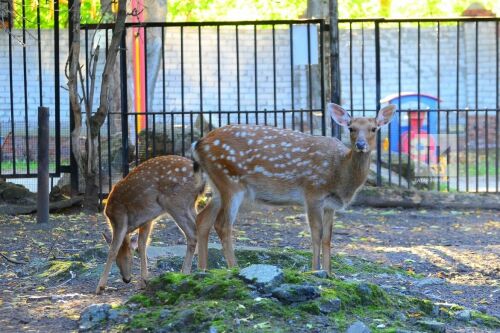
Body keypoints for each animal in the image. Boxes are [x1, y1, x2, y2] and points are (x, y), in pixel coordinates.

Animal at [95, 155, 205, 294]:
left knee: (192, 234)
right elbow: (142, 245)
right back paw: (202, 270)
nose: (126, 279)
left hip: (175, 202)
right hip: (190, 204)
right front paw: (143, 282)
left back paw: (184, 273)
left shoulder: (120, 219)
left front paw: (100, 287)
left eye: (127, 258)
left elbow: (113, 250)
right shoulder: (147, 219)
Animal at [193, 103, 396, 272]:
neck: (339, 176)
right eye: (351, 128)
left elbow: (328, 237)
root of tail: (198, 144)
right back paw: (234, 268)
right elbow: (316, 233)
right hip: (230, 181)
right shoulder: (313, 192)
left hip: (218, 185)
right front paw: (315, 271)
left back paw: (201, 270)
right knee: (222, 225)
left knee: (203, 219)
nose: (361, 144)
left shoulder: (330, 204)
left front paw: (330, 273)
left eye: (374, 128)